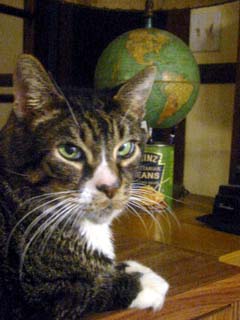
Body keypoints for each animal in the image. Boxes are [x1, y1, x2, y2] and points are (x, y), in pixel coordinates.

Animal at [0, 55, 169, 320]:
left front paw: (129, 267)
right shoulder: (30, 297)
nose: (110, 187)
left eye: (125, 148)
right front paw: (146, 281)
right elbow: (88, 288)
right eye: (70, 151)